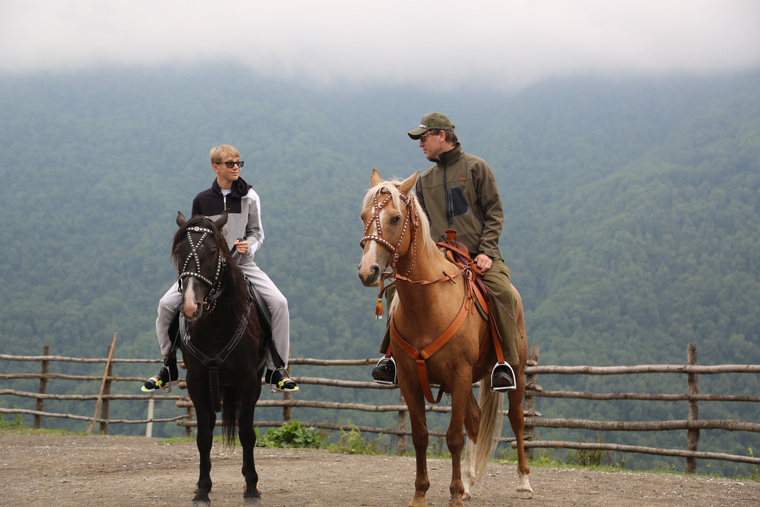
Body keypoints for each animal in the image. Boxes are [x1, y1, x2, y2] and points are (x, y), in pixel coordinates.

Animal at [172, 212, 268, 506]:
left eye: (213, 252)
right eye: (179, 252)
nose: (190, 305)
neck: (215, 326)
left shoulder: (248, 383)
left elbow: (247, 433)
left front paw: (252, 488)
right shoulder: (197, 383)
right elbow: (204, 436)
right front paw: (202, 489)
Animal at [360, 171, 532, 507]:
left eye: (395, 218)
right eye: (363, 216)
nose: (367, 270)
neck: (428, 303)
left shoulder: (460, 375)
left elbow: (453, 437)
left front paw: (453, 495)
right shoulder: (412, 380)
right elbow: (420, 436)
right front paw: (421, 495)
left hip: (514, 372)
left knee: (517, 420)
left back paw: (523, 482)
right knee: (475, 421)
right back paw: (469, 483)